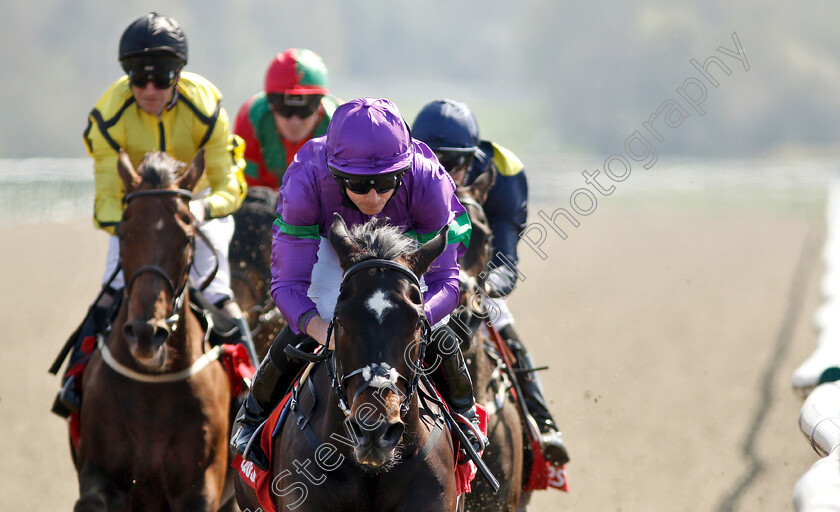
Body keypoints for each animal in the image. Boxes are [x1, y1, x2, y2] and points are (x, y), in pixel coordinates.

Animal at [73, 151, 231, 512]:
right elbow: (92, 498)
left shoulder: (201, 486)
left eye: (187, 237)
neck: (151, 392)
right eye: (123, 232)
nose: (146, 333)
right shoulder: (100, 472)